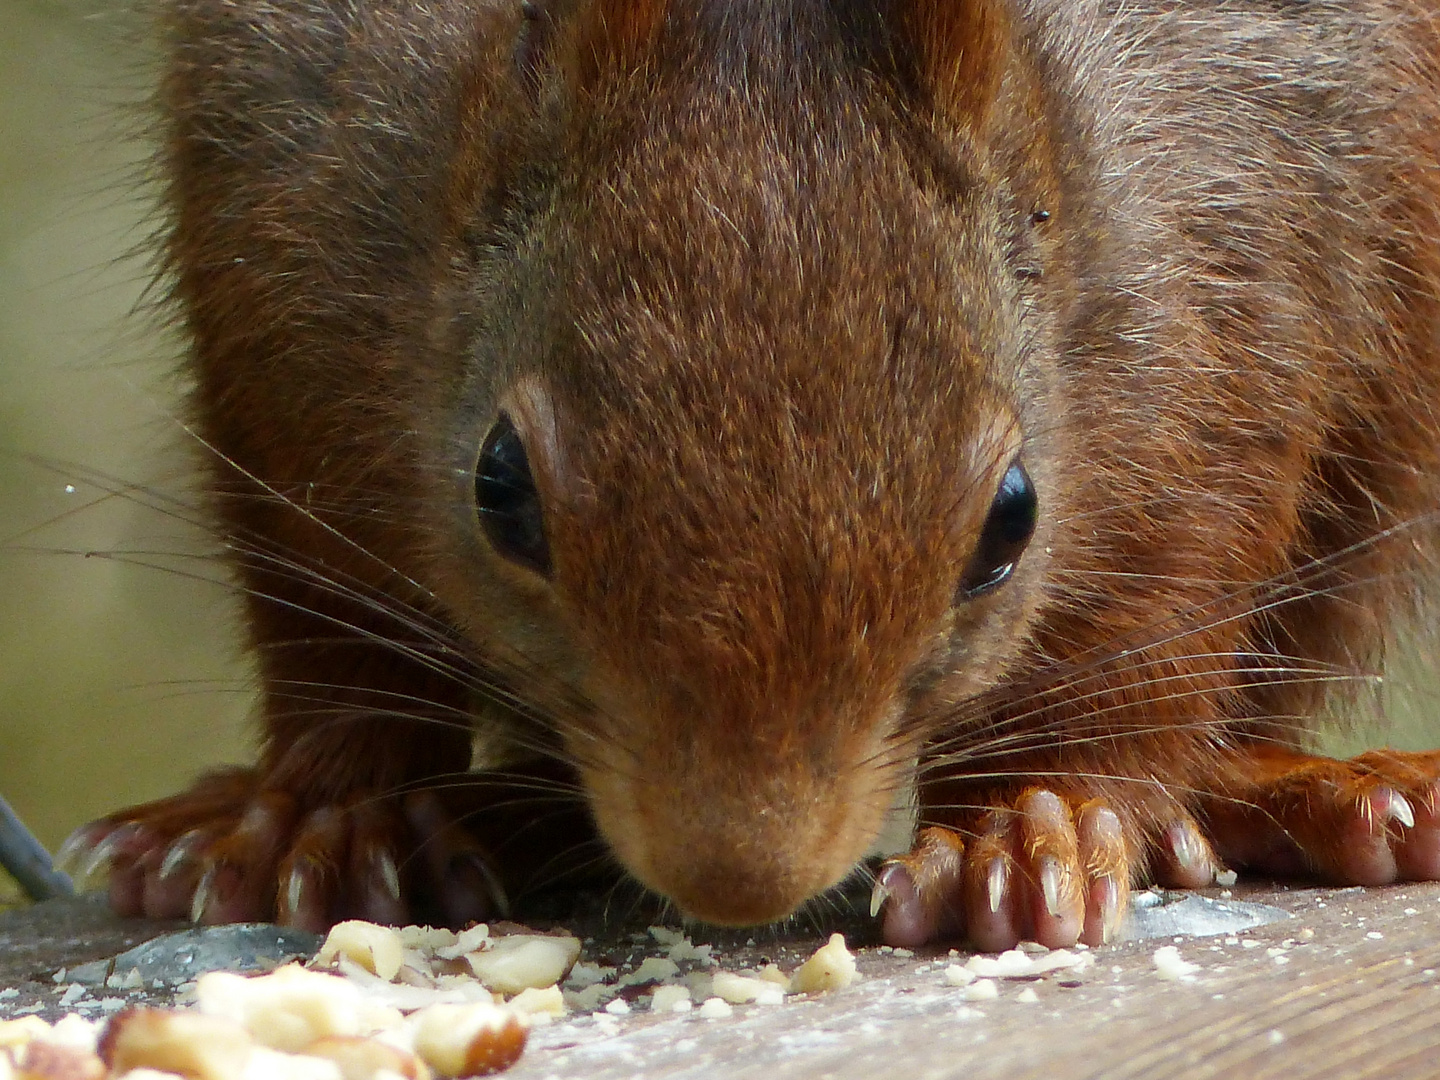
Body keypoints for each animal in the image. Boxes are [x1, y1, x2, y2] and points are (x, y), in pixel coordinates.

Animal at [67, 0, 1440, 944]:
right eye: (498, 488)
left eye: (1012, 522)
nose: (737, 877)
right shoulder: (288, 272)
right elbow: (330, 621)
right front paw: (324, 812)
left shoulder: (1221, 290)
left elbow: (1161, 600)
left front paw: (1034, 823)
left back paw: (1318, 797)